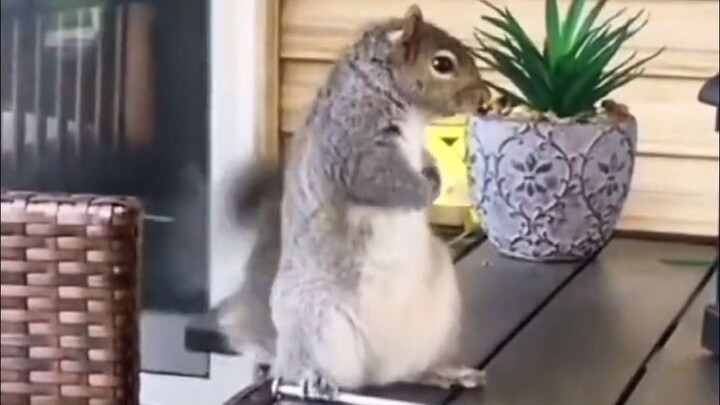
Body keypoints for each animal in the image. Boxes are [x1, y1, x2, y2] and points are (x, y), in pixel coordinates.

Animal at [219, 4, 491, 400]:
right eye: (442, 64)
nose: (483, 97)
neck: (377, 85)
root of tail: (376, 370)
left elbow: (424, 160)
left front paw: (435, 174)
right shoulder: (352, 146)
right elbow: (381, 181)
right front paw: (425, 190)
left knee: (409, 370)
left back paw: (443, 372)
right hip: (316, 321)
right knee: (296, 372)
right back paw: (310, 380)